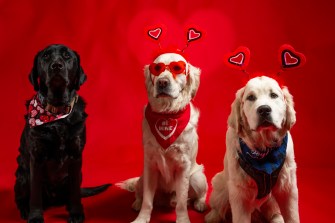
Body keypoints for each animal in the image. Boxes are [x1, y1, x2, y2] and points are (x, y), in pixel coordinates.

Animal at [14, 44, 111, 223]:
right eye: (45, 57)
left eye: (67, 56)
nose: (56, 66)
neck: (57, 113)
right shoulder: (36, 157)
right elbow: (35, 193)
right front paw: (35, 216)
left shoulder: (76, 154)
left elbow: (74, 192)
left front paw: (76, 212)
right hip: (22, 175)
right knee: (21, 197)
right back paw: (25, 209)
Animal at [118, 52, 207, 223]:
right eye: (157, 69)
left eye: (177, 68)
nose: (162, 82)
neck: (167, 115)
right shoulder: (150, 164)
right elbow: (147, 200)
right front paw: (141, 218)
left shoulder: (184, 166)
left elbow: (182, 203)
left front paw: (183, 219)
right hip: (142, 178)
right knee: (140, 193)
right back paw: (136, 203)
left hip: (198, 178)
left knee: (196, 195)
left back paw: (200, 203)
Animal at [206, 76, 300, 222]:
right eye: (251, 97)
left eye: (274, 95)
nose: (264, 109)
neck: (263, 150)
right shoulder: (240, 192)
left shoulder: (287, 185)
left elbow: (292, 215)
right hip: (221, 186)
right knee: (218, 208)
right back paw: (212, 217)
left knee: (274, 212)